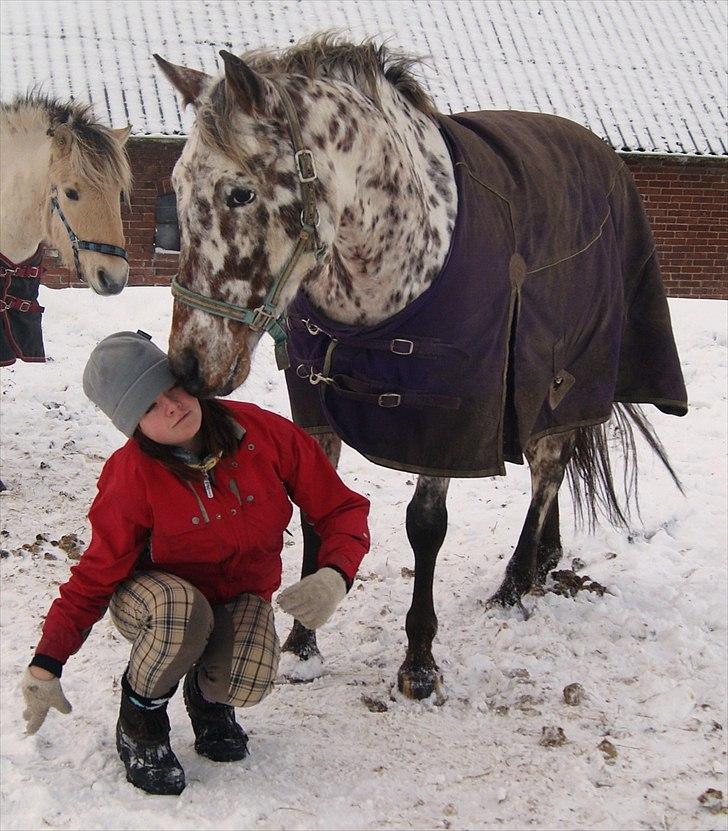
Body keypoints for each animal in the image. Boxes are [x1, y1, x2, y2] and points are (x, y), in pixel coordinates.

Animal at [155, 37, 688, 704]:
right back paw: (545, 560)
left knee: (548, 469)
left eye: (240, 194)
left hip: (565, 381)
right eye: (175, 190)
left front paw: (419, 661)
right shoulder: (317, 409)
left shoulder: (447, 421)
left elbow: (425, 526)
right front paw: (302, 647)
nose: (189, 365)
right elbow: (313, 510)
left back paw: (515, 583)